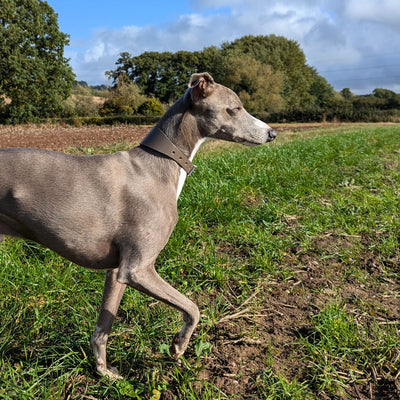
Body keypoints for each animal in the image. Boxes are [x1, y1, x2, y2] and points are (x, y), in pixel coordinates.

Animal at [0, 72, 276, 378]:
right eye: (235, 108)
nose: (272, 134)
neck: (160, 163)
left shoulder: (116, 272)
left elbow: (102, 329)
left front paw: (105, 373)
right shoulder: (137, 270)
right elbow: (193, 307)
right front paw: (179, 346)